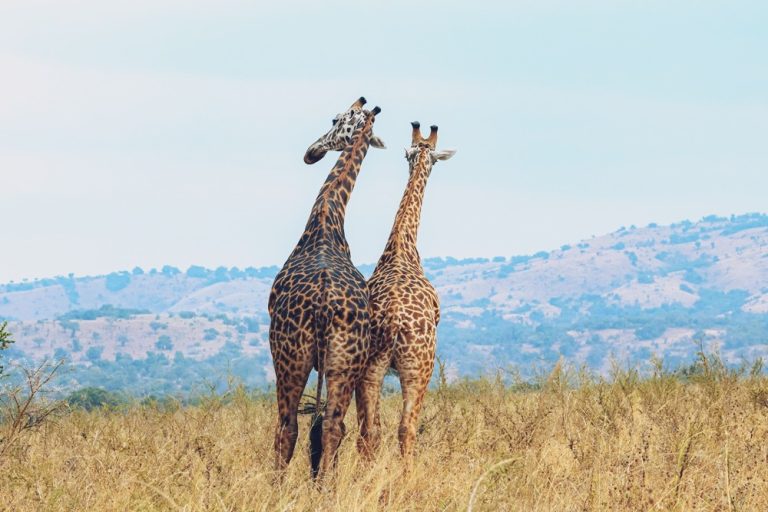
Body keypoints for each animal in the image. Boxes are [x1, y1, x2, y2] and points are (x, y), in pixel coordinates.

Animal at [268, 96, 385, 481]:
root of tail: (321, 302)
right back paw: (326, 486)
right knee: (333, 425)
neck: (326, 216)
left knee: (287, 427)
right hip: (343, 362)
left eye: (334, 120)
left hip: (287, 356)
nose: (311, 152)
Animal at [356, 122, 455, 464]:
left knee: (370, 432)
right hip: (418, 369)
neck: (401, 247)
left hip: (370, 369)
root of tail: (396, 320)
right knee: (405, 429)